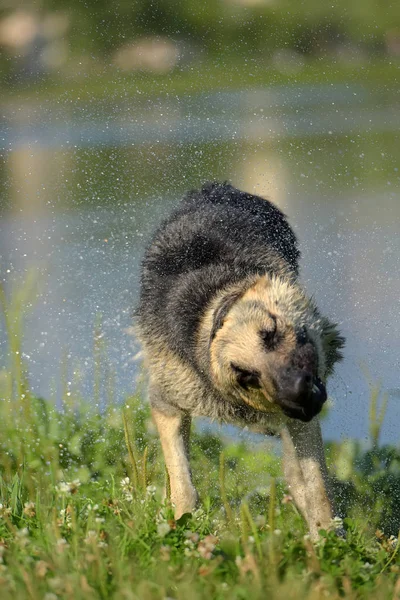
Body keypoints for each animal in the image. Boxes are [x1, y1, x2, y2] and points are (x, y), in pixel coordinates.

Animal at [138, 183, 344, 540]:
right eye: (246, 376)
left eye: (271, 333)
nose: (298, 393)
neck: (211, 311)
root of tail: (211, 188)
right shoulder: (167, 403)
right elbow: (182, 484)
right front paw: (183, 529)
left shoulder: (301, 423)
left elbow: (314, 486)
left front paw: (327, 542)